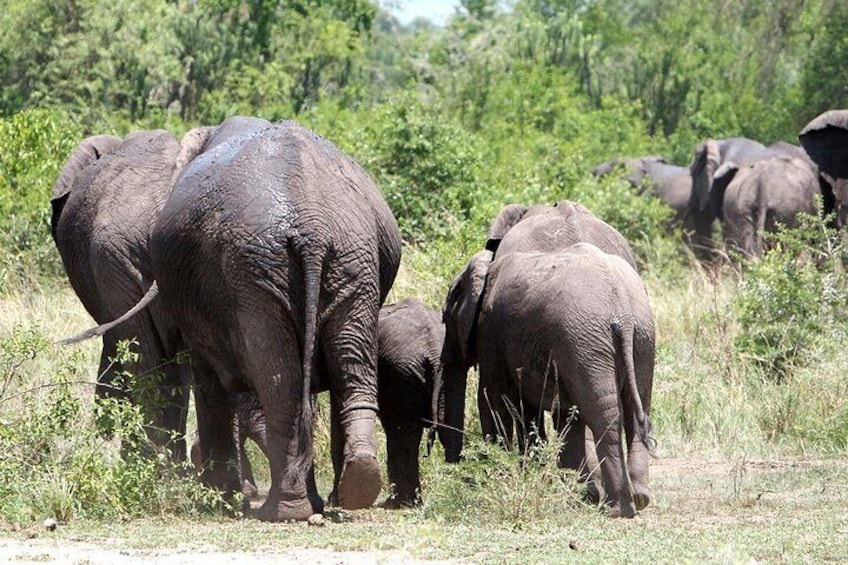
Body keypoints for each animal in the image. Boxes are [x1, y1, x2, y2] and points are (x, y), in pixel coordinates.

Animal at [149, 116, 402, 522]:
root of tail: (313, 227)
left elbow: (210, 380)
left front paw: (220, 499)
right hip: (349, 259)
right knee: (348, 367)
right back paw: (350, 490)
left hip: (256, 270)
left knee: (281, 384)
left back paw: (282, 510)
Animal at [478, 243, 655, 517]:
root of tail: (623, 312)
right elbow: (565, 416)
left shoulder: (491, 332)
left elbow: (493, 402)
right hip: (634, 337)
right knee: (634, 411)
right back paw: (638, 499)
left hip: (589, 339)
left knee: (604, 416)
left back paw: (617, 508)